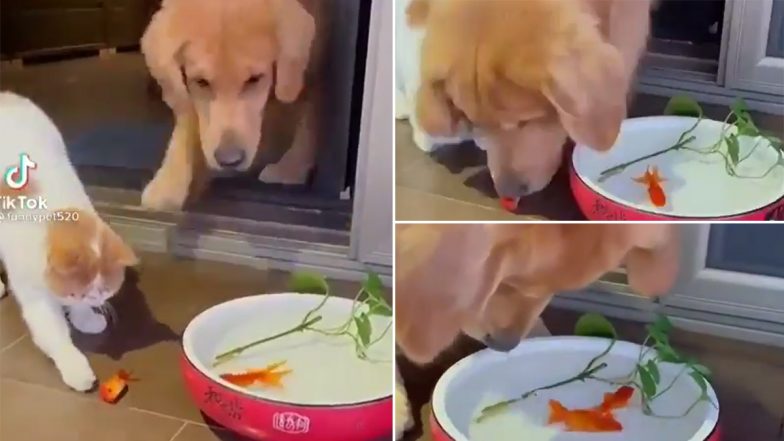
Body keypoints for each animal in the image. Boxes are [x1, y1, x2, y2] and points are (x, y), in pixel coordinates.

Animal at [0, 92, 139, 388]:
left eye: (104, 290)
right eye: (79, 291)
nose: (94, 301)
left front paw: (85, 318)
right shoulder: (35, 296)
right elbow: (54, 335)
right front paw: (76, 367)